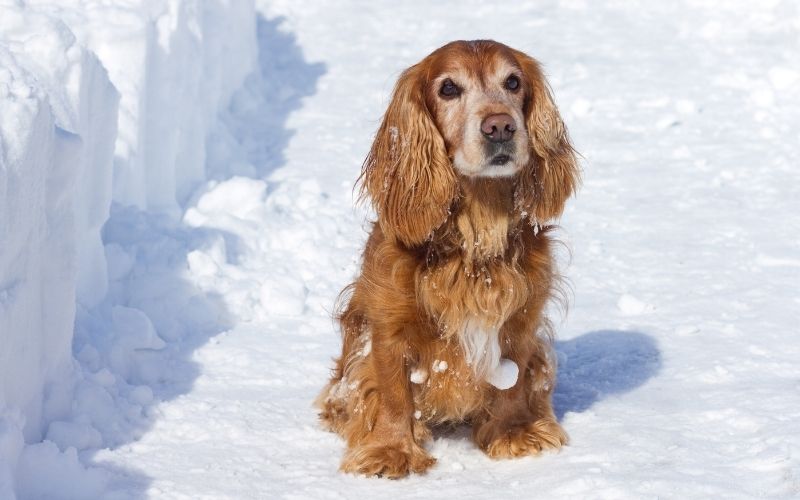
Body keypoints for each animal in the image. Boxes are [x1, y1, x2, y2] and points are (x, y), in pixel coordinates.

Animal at [314, 39, 580, 476]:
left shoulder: (523, 314)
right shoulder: (388, 321)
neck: (477, 228)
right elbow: (392, 389)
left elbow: (514, 378)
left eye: (513, 82)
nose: (500, 126)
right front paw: (391, 450)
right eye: (449, 88)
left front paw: (512, 435)